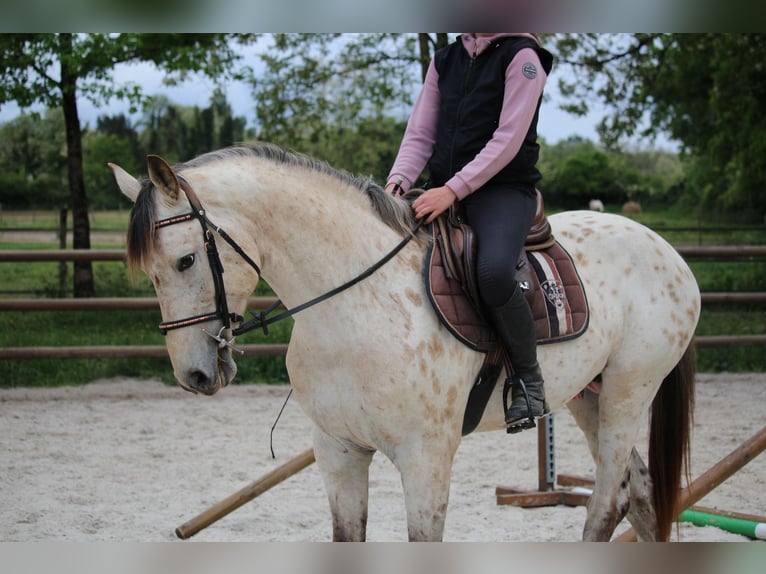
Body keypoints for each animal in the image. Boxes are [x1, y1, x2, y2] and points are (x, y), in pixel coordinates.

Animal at [111, 144, 704, 544]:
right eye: (151, 273)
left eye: (186, 260)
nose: (194, 375)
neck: (353, 311)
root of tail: (663, 248)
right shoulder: (338, 451)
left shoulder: (426, 460)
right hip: (587, 397)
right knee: (639, 493)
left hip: (629, 391)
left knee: (606, 502)